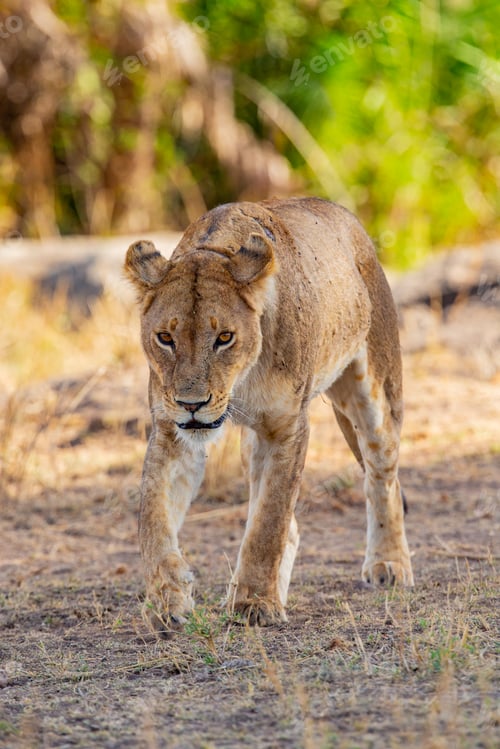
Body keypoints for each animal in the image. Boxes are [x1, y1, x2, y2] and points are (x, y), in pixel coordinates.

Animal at [125, 197, 414, 632]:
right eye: (165, 338)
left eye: (224, 337)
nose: (192, 404)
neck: (241, 380)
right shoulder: (171, 432)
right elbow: (153, 516)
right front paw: (168, 597)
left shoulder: (287, 427)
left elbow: (268, 522)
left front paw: (255, 603)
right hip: (251, 444)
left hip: (376, 393)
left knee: (384, 478)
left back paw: (389, 564)